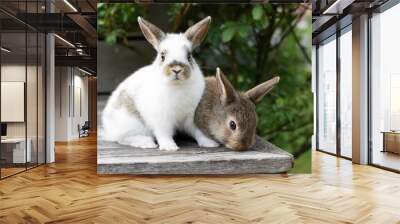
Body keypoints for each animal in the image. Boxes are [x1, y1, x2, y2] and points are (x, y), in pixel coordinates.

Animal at [101, 16, 219, 151]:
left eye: (189, 56)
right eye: (162, 56)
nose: (177, 69)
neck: (177, 86)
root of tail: (107, 128)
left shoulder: (191, 116)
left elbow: (198, 131)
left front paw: (210, 143)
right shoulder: (161, 120)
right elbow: (164, 134)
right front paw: (169, 147)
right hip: (132, 123)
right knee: (123, 138)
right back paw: (146, 143)